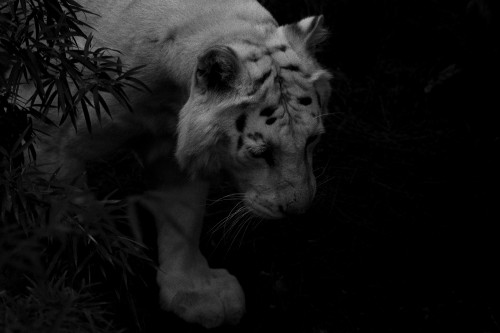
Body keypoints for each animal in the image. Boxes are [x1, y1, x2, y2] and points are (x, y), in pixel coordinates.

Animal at [35, 0, 332, 326]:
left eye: (312, 139)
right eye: (260, 152)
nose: (298, 210)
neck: (166, 92)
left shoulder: (175, 151)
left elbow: (183, 220)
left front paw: (194, 291)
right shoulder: (54, 139)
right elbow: (74, 217)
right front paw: (90, 274)